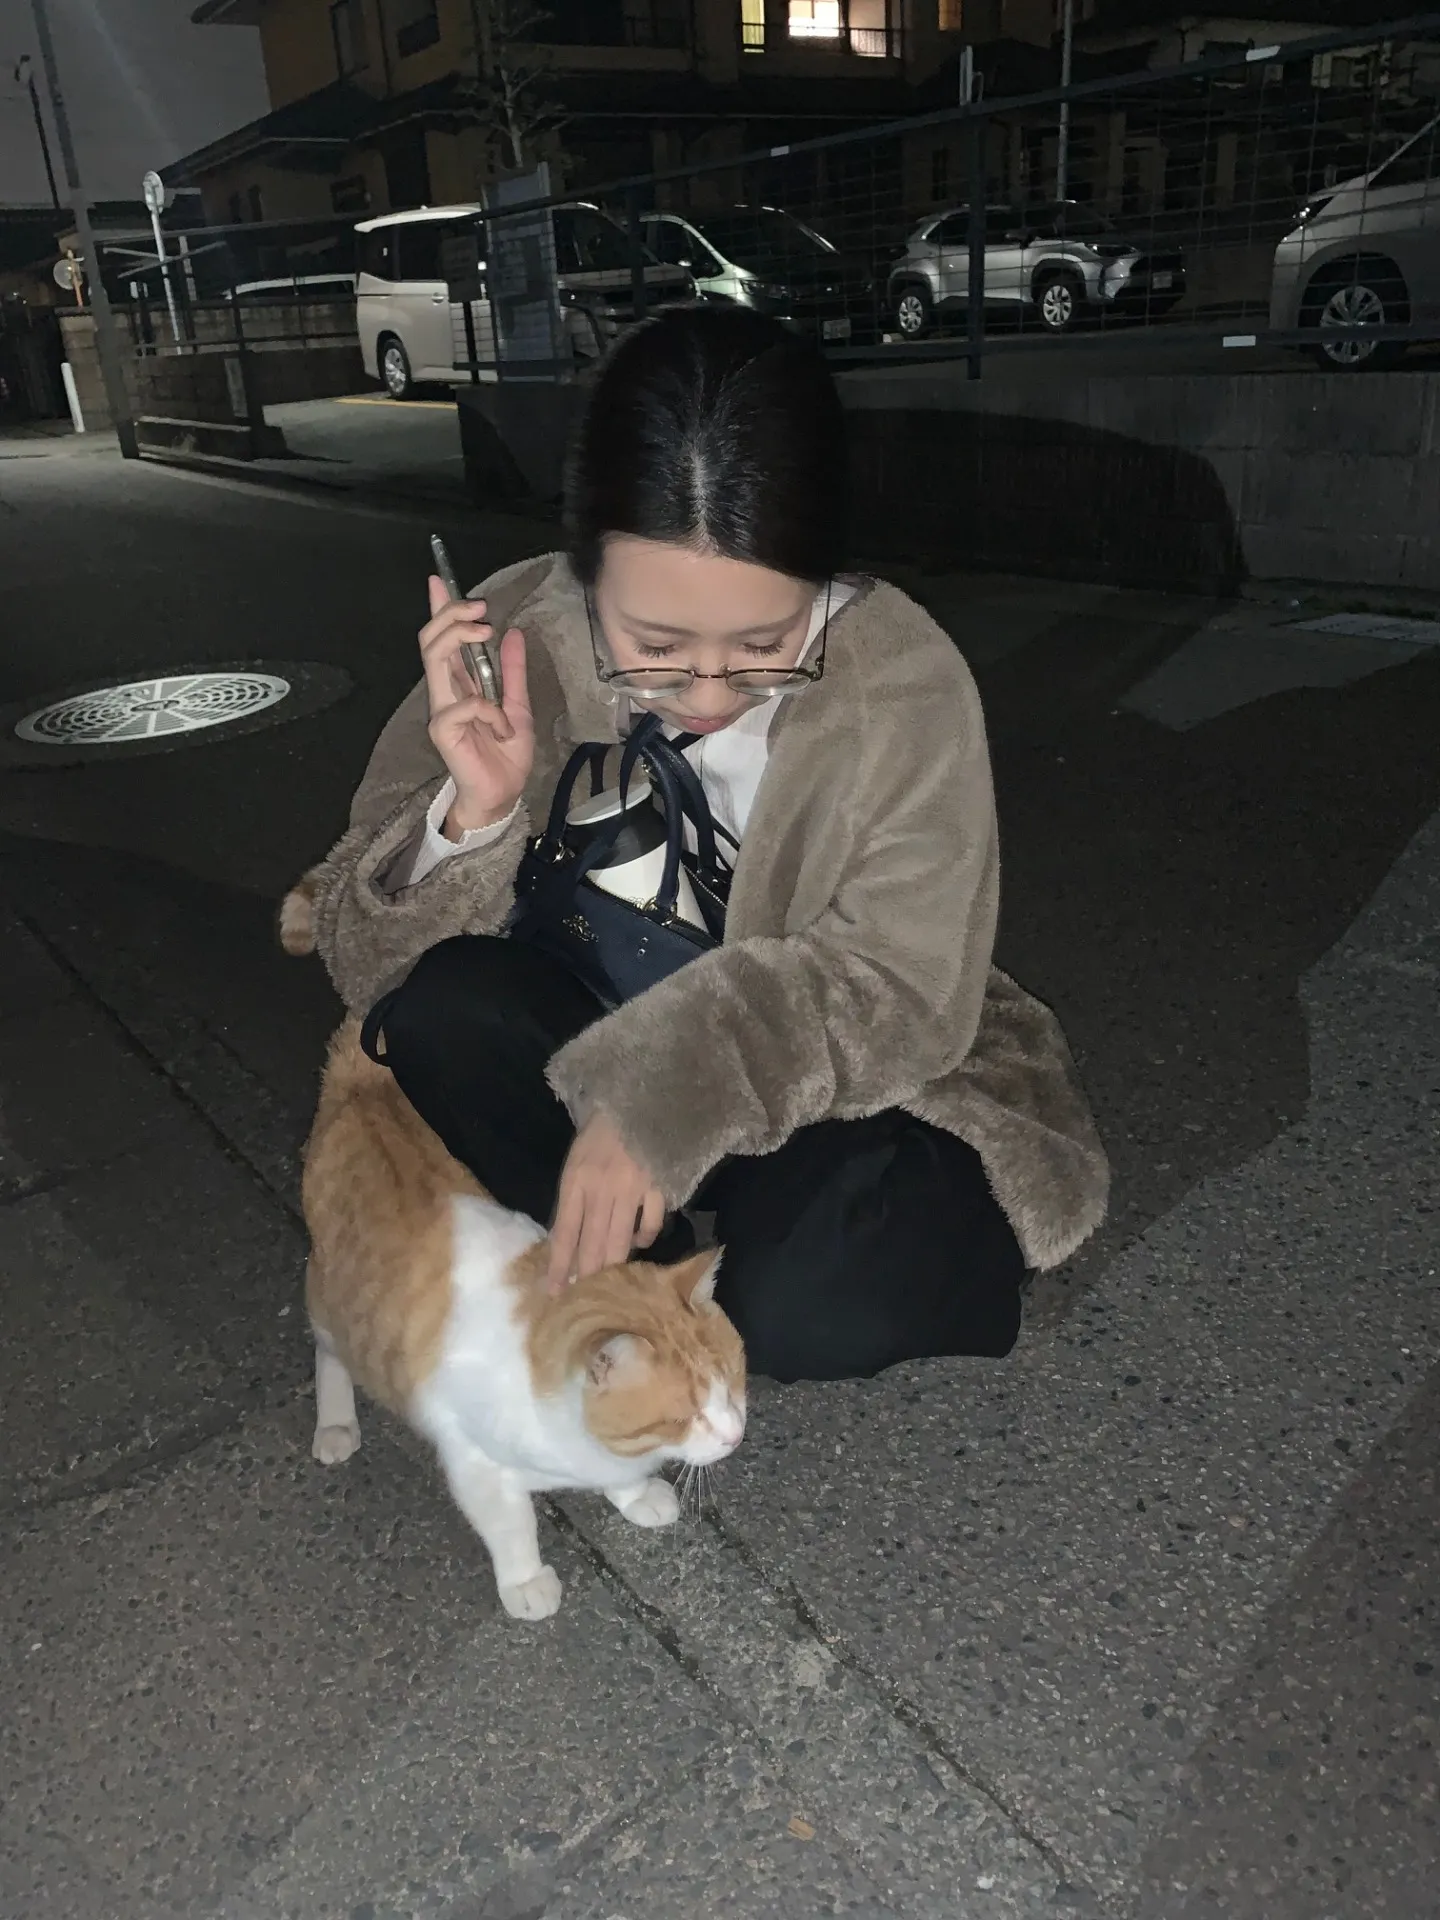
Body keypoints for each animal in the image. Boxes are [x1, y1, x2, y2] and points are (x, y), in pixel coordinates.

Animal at [290, 895, 746, 1623]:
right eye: (682, 1414)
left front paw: (634, 1494)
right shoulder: (475, 1464)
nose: (733, 1436)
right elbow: (512, 1525)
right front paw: (527, 1581)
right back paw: (336, 1422)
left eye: (733, 1381)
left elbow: (615, 1476)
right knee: (330, 1348)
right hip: (331, 1299)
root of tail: (365, 1085)